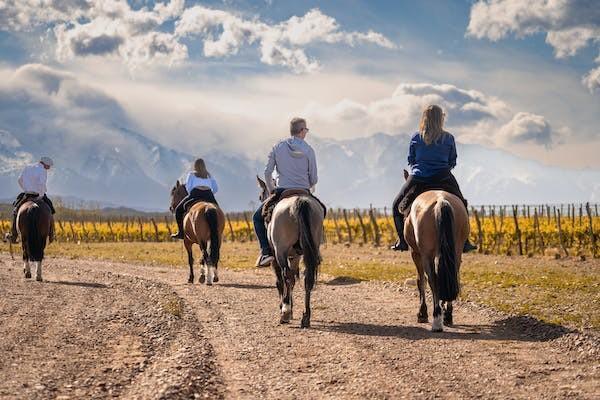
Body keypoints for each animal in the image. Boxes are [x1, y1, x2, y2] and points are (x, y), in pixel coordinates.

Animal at [404, 172, 468, 332]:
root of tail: (441, 201)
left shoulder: (416, 253)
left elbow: (421, 280)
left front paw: (422, 313)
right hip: (456, 251)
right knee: (452, 276)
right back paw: (448, 316)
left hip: (426, 255)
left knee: (433, 280)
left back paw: (437, 319)